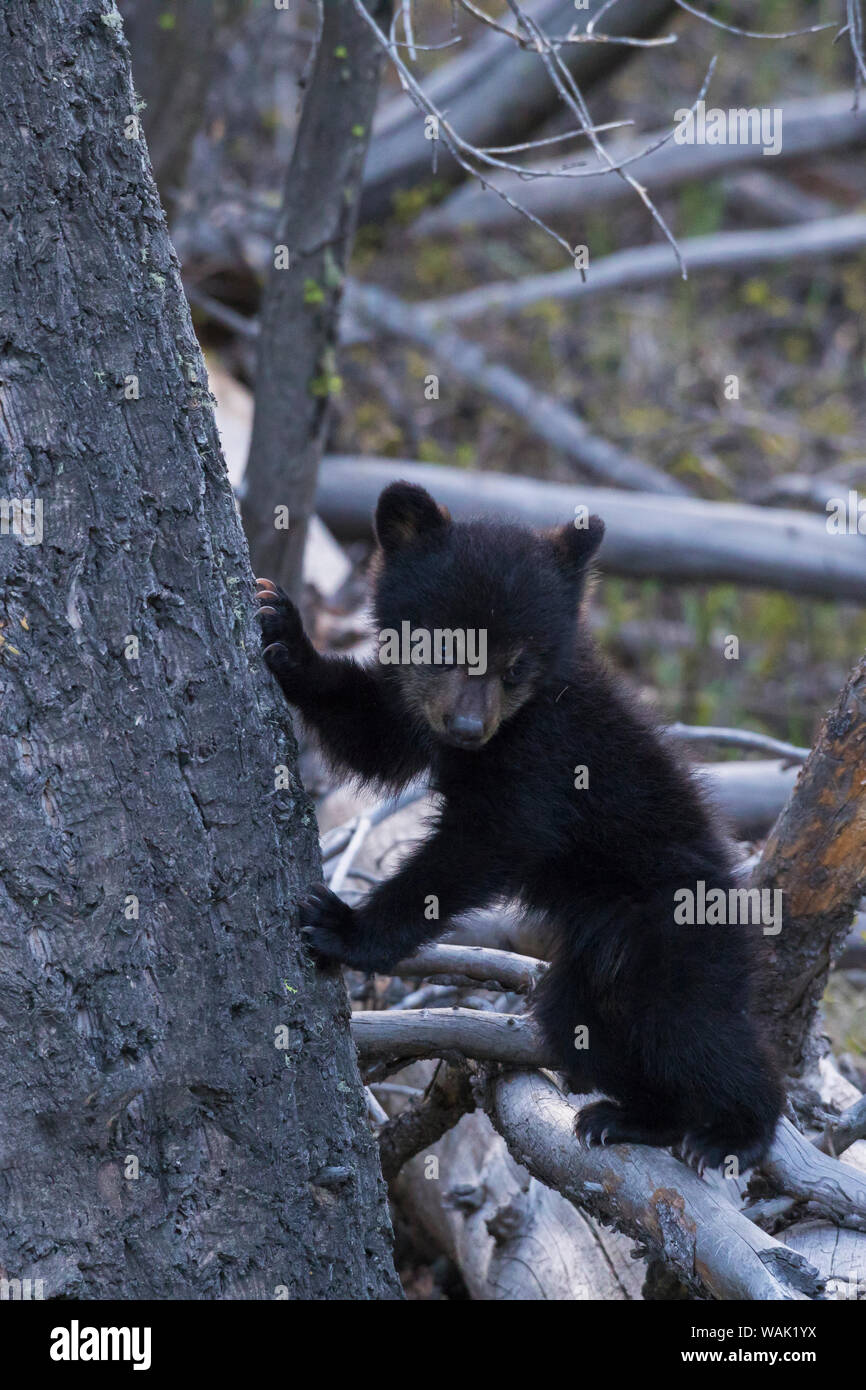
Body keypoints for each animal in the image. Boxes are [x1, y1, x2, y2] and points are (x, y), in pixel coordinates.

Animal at [255, 480, 783, 1172]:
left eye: (514, 666)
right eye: (445, 648)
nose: (467, 728)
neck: (513, 722)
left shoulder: (548, 754)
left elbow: (489, 839)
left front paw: (343, 927)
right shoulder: (421, 712)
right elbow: (375, 733)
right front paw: (284, 633)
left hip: (673, 934)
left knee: (696, 1029)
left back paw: (736, 1132)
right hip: (586, 967)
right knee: (581, 1030)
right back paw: (631, 1117)